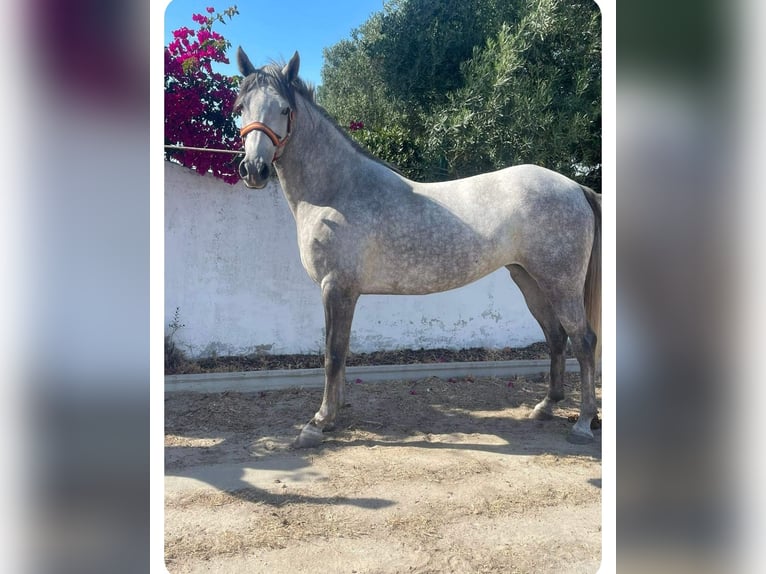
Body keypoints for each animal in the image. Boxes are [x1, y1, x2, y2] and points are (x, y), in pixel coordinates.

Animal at [233, 48, 602, 447]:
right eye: (241, 107)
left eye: (284, 109)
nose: (254, 170)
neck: (337, 191)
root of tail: (574, 187)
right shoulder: (343, 292)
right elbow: (341, 353)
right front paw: (336, 413)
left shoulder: (336, 287)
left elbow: (332, 354)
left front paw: (319, 422)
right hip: (529, 280)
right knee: (555, 336)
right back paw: (546, 406)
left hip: (560, 283)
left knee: (583, 340)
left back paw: (584, 422)